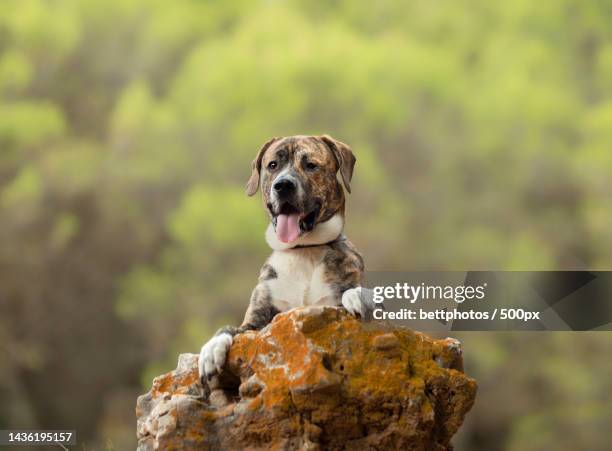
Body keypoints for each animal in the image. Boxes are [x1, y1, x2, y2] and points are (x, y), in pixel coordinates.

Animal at [198, 136, 370, 384]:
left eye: (311, 165)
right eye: (273, 165)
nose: (283, 185)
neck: (304, 250)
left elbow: (352, 292)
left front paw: (356, 295)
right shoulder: (256, 321)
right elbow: (229, 327)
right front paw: (211, 349)